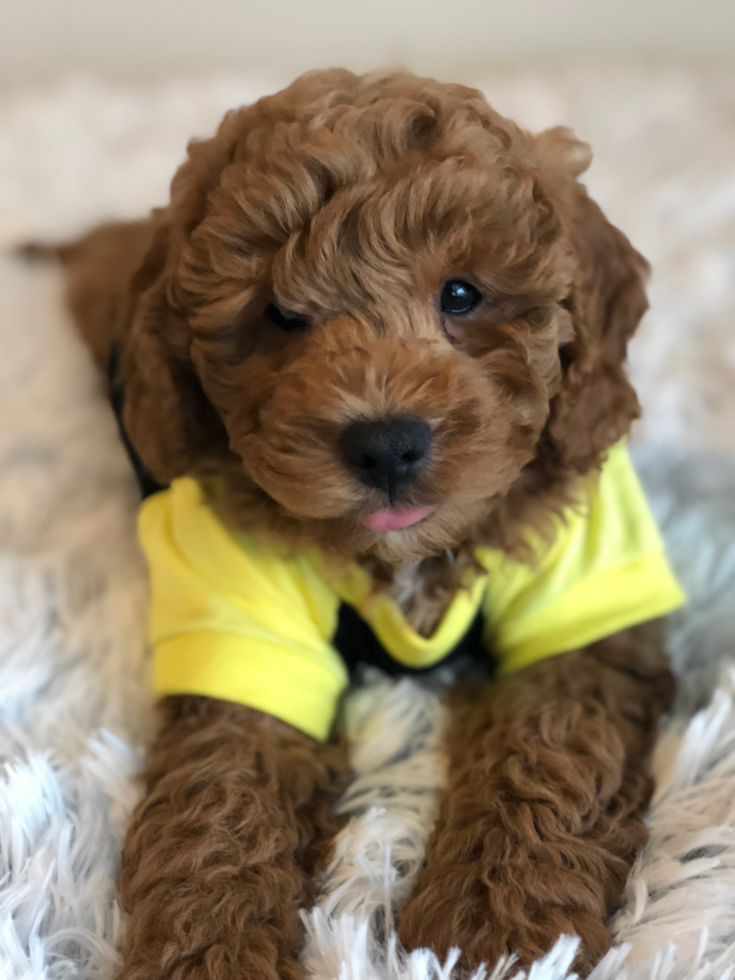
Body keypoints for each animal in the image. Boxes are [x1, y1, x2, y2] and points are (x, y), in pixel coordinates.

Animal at [49, 69, 684, 980]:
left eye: (461, 294)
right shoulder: (242, 626)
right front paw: (209, 951)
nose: (385, 444)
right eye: (280, 317)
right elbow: (221, 795)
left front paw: (495, 929)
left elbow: (547, 754)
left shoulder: (582, 589)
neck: (402, 558)